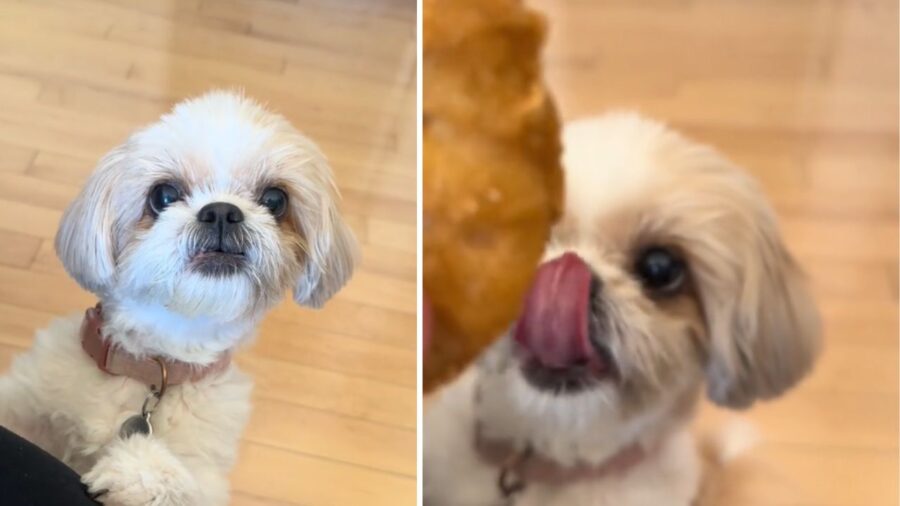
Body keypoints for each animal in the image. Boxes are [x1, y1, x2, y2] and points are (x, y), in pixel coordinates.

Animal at [0, 89, 358, 504]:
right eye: (164, 195)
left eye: (275, 199)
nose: (222, 212)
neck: (156, 366)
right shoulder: (24, 404)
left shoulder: (206, 475)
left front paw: (141, 472)